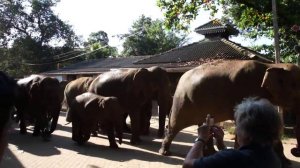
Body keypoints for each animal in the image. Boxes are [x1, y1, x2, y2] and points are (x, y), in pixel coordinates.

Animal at [161, 59, 300, 158]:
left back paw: (209, 153)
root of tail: (180, 78)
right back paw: (165, 152)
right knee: (175, 125)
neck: (272, 65)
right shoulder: (246, 90)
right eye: (295, 86)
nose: (294, 150)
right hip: (182, 102)